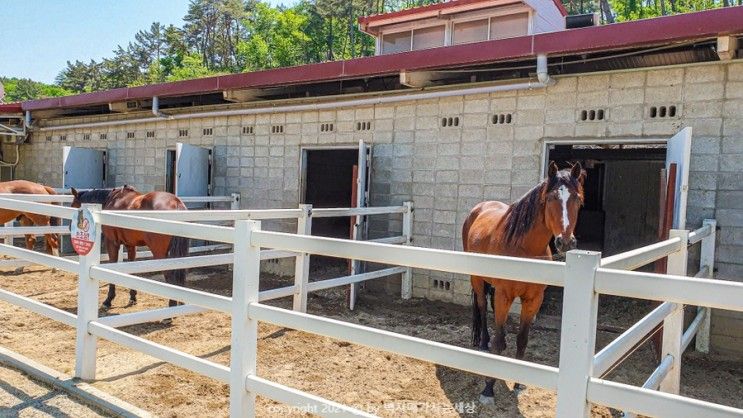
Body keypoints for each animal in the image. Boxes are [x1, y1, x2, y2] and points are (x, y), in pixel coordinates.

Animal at [464, 162, 588, 404]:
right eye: (551, 198)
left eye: (578, 199)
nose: (566, 242)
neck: (523, 249)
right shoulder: (504, 296)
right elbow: (498, 336)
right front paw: (488, 388)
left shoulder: (533, 300)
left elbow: (522, 339)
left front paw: (519, 382)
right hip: (477, 278)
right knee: (482, 308)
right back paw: (483, 343)